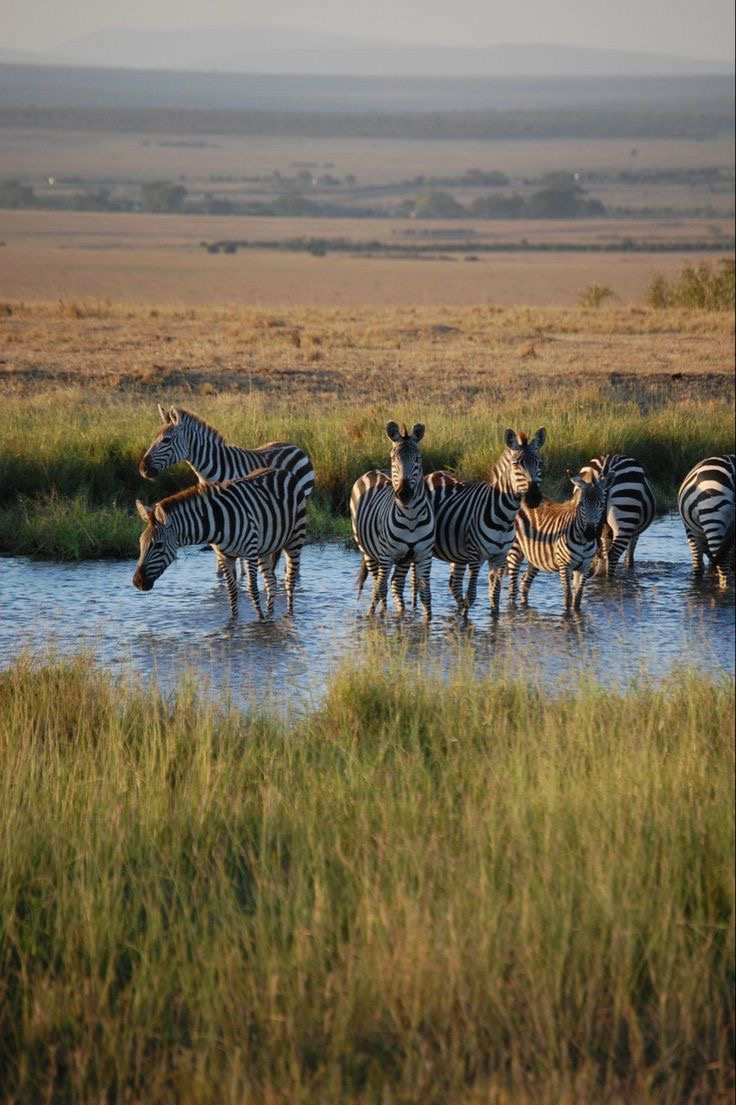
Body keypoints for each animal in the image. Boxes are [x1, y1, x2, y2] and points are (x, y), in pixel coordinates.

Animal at [132, 467, 307, 619]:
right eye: (140, 543)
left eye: (158, 545)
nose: (137, 582)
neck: (217, 523)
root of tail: (283, 471)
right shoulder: (224, 556)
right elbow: (231, 592)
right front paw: (234, 622)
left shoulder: (250, 552)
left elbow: (252, 589)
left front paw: (260, 622)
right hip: (265, 548)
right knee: (271, 582)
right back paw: (271, 616)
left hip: (294, 539)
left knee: (289, 580)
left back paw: (289, 616)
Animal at [350, 421, 435, 619]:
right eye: (394, 459)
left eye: (418, 459)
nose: (404, 494)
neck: (411, 517)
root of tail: (375, 470)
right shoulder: (386, 555)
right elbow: (381, 589)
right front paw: (381, 620)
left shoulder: (424, 555)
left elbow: (426, 594)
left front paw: (428, 623)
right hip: (368, 552)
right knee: (378, 585)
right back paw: (374, 614)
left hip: (404, 559)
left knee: (396, 584)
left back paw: (401, 614)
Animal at [423, 428, 546, 615]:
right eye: (516, 464)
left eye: (539, 463)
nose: (534, 498)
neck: (504, 518)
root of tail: (433, 473)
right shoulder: (476, 556)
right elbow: (471, 594)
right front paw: (466, 621)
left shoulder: (500, 557)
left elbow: (494, 594)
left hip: (456, 552)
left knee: (454, 584)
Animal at [506, 473, 609, 612]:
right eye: (582, 504)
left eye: (601, 504)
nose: (589, 534)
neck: (583, 542)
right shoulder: (565, 566)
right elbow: (568, 597)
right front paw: (567, 616)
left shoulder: (584, 567)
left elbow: (578, 597)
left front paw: (577, 615)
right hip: (515, 549)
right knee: (513, 588)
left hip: (536, 556)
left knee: (525, 583)